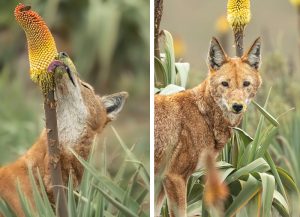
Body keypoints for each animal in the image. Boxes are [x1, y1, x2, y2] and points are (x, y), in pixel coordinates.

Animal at [154, 37, 262, 217]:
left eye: (246, 84)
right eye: (225, 84)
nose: (237, 106)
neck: (203, 115)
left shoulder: (162, 182)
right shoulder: (174, 177)